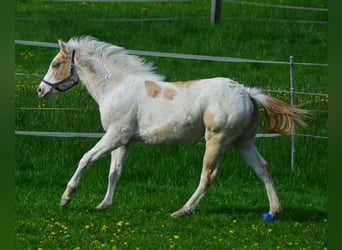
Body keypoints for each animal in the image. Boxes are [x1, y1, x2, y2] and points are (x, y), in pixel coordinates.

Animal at [36, 35, 310, 219]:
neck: (116, 87)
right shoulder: (123, 141)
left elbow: (86, 159)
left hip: (217, 140)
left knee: (208, 176)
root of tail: (247, 92)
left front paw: (66, 198)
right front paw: (104, 205)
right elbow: (114, 173)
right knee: (263, 169)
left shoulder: (114, 136)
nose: (40, 91)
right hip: (242, 143)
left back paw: (182, 211)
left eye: (56, 64)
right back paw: (274, 211)